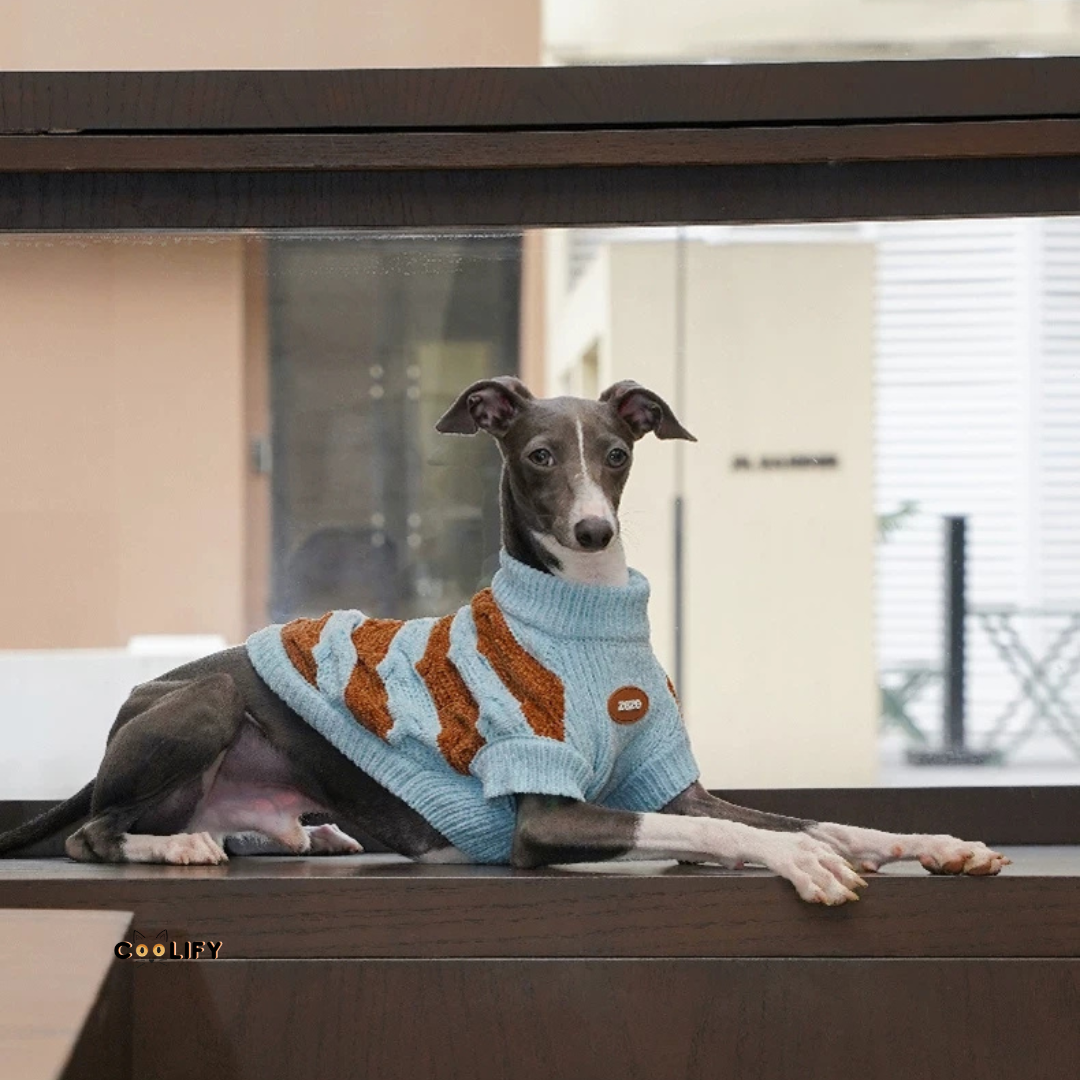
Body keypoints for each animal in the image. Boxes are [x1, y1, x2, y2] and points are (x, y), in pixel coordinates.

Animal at [0, 377, 1009, 904]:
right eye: (538, 456)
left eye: (618, 454)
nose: (595, 532)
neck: (585, 615)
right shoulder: (547, 818)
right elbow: (712, 832)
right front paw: (804, 863)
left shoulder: (675, 782)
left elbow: (815, 817)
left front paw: (930, 841)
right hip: (204, 704)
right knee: (93, 834)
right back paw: (173, 849)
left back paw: (303, 837)